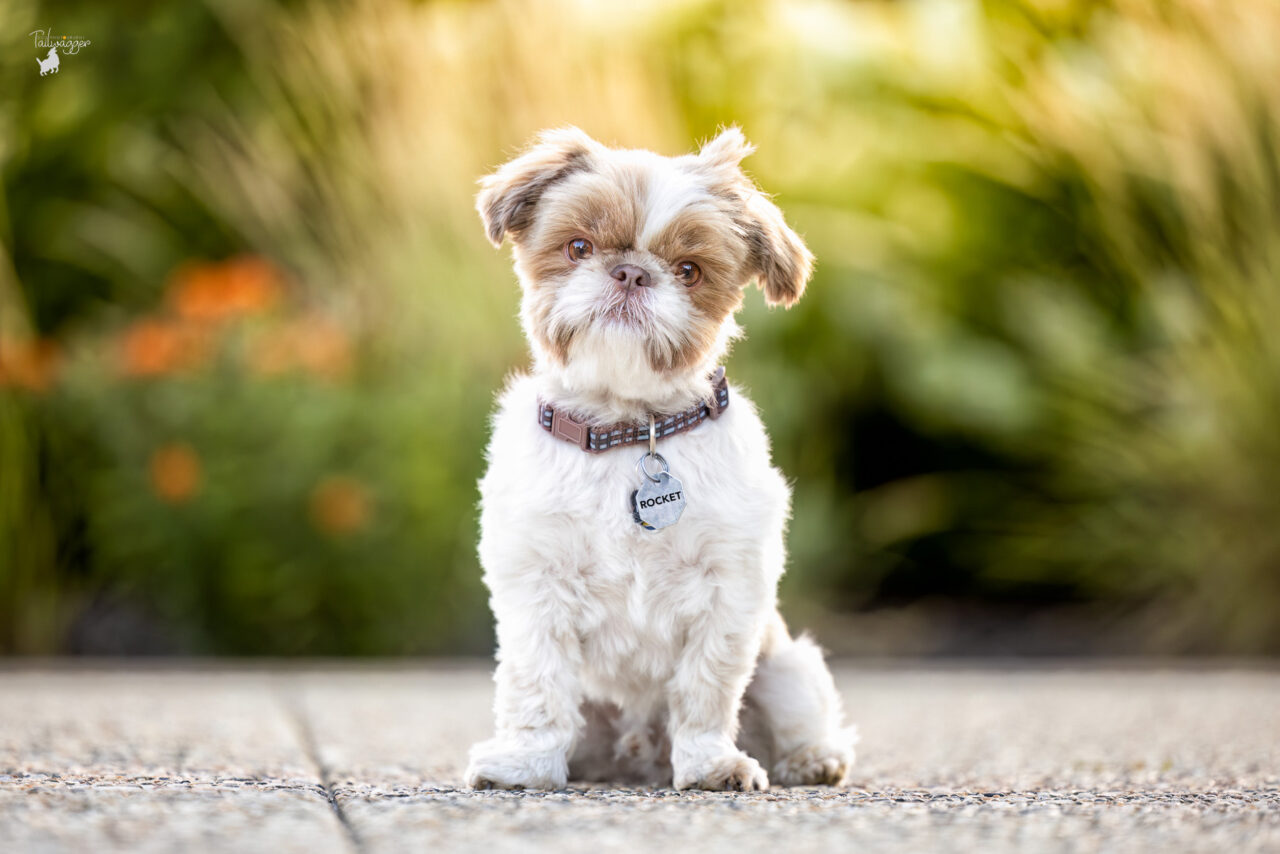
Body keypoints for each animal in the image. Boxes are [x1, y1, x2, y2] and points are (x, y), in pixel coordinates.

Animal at [465, 126, 855, 793]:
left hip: (789, 666)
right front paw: (525, 765)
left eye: (689, 271)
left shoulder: (728, 591)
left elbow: (705, 690)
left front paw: (710, 765)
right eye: (578, 246)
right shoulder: (536, 585)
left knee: (799, 713)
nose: (630, 272)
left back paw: (810, 759)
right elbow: (537, 687)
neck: (625, 431)